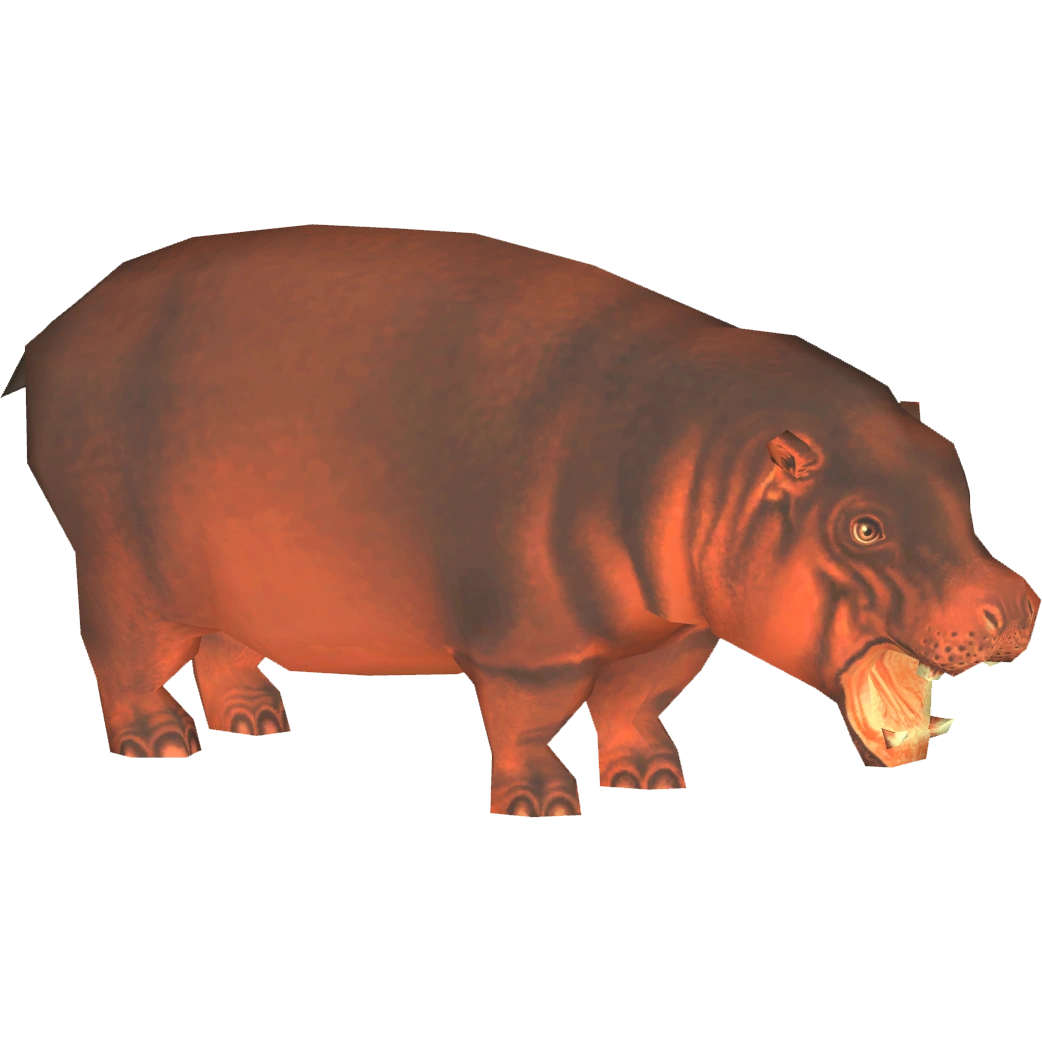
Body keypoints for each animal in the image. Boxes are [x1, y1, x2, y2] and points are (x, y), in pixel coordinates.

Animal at [3, 225, 1037, 817]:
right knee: (124, 655)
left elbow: (637, 698)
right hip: (122, 562)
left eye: (957, 473)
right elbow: (531, 717)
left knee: (220, 643)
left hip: (220, 574)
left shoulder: (673, 629)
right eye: (862, 528)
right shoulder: (528, 642)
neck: (703, 452)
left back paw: (259, 722)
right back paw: (161, 745)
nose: (1018, 604)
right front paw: (543, 806)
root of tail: (52, 328)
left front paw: (653, 782)